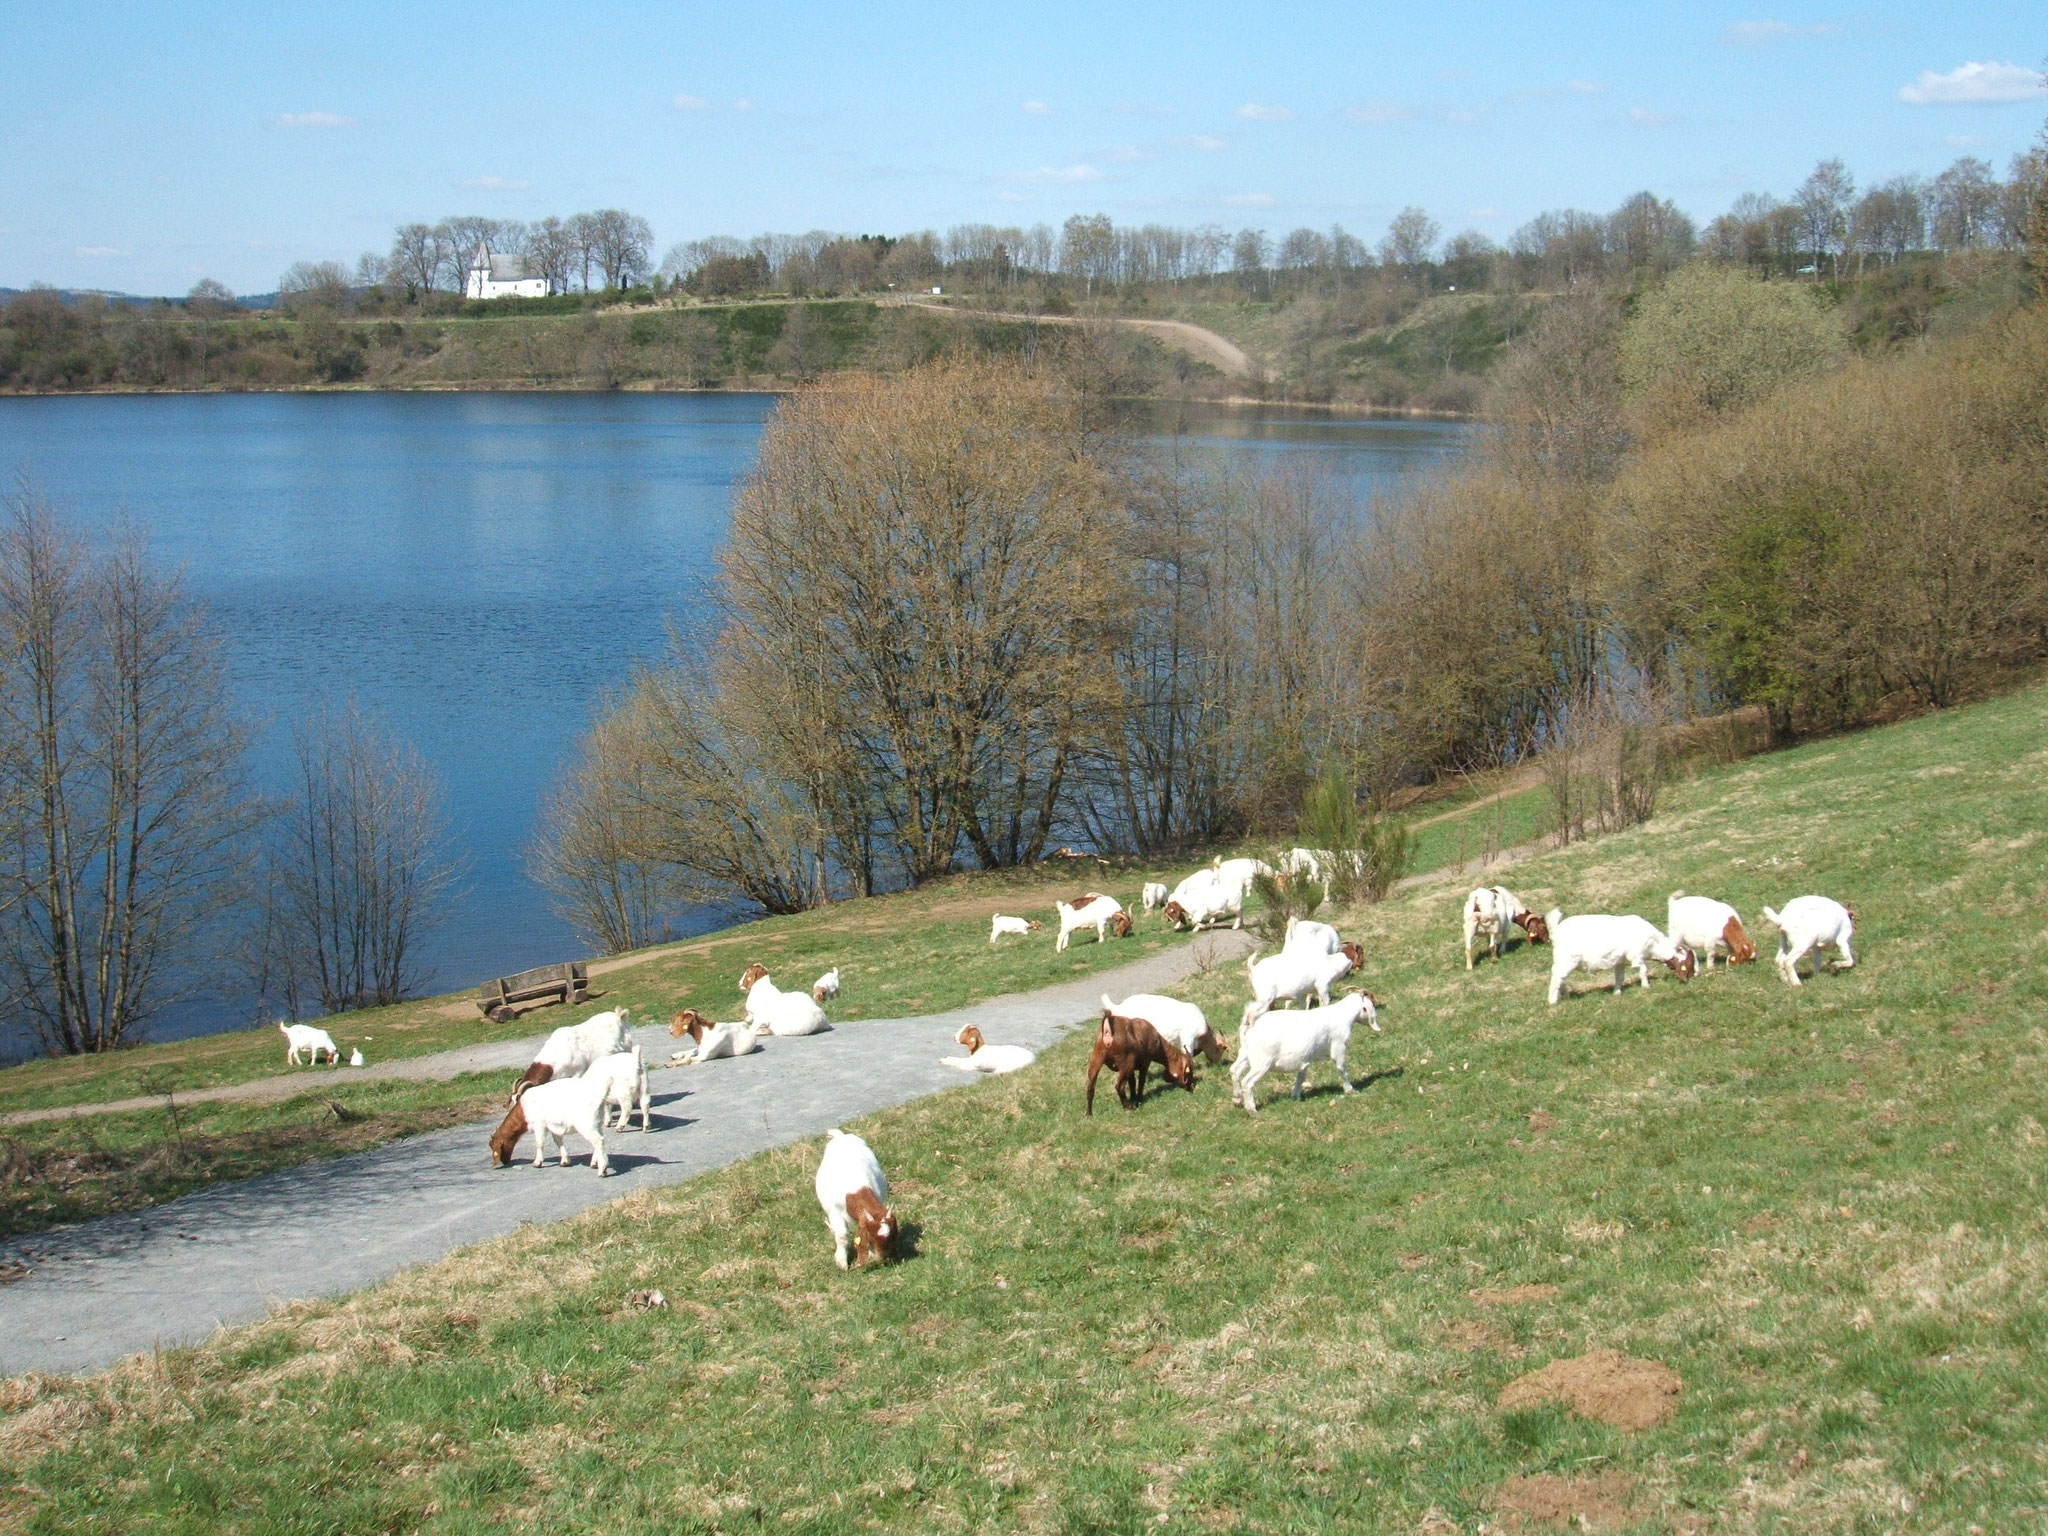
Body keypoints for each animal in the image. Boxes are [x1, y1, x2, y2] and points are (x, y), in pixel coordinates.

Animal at [811, 1130, 901, 1277]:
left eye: (893, 1235)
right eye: (870, 1236)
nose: (883, 1259)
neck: (855, 1191)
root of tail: (841, 1136)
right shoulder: (834, 1212)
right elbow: (842, 1235)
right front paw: (841, 1263)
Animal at [1220, 987, 1384, 1122]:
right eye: (1370, 1005)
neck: (1342, 1015)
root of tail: (1251, 1023)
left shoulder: (1305, 1059)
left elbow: (1301, 1077)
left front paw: (1296, 1096)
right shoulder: (1339, 1048)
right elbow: (1342, 1070)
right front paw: (1351, 1090)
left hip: (1245, 1055)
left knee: (1234, 1070)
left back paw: (1236, 1100)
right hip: (1262, 1062)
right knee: (1247, 1082)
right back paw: (1252, 1110)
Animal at [1548, 913, 1695, 1011]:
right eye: (1688, 964)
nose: (1691, 979)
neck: (1654, 944)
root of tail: (1556, 930)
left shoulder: (1620, 962)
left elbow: (1619, 977)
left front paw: (1617, 992)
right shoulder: (1636, 956)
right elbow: (1643, 970)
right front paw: (1646, 986)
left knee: (1560, 978)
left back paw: (1564, 995)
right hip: (1567, 960)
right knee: (1556, 978)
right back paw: (1553, 1001)